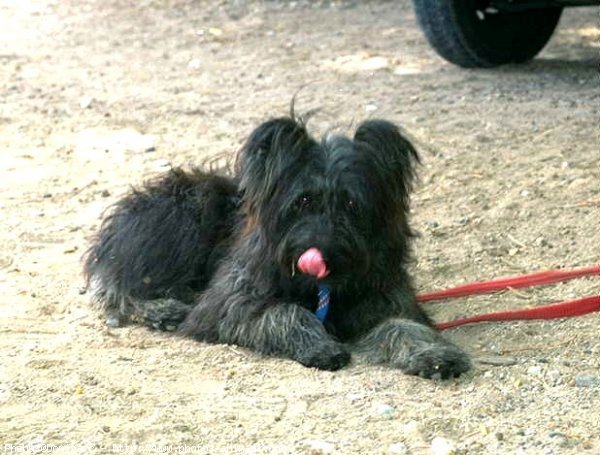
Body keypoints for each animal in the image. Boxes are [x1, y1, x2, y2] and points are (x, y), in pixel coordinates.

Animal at [84, 116, 472, 380]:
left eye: (351, 204)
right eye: (303, 200)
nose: (321, 249)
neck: (320, 288)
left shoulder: (386, 298)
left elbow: (405, 326)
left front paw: (434, 354)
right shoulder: (228, 303)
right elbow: (284, 312)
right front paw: (319, 345)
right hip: (187, 213)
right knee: (119, 287)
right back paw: (161, 309)